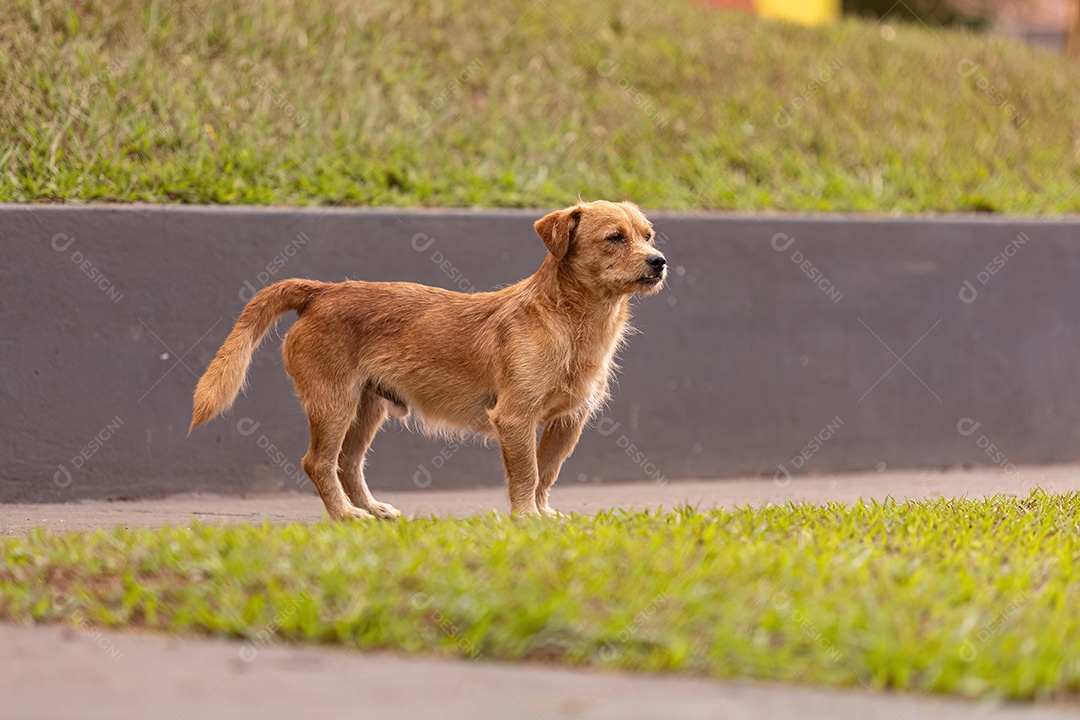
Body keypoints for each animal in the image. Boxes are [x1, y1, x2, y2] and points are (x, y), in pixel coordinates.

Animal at [192, 199, 665, 520]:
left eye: (648, 235)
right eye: (614, 238)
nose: (659, 262)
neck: (573, 323)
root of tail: (322, 291)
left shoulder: (568, 420)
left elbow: (547, 472)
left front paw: (543, 515)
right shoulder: (515, 418)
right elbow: (527, 474)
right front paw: (526, 518)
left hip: (367, 409)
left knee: (348, 463)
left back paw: (371, 510)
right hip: (333, 404)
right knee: (318, 463)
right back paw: (345, 515)